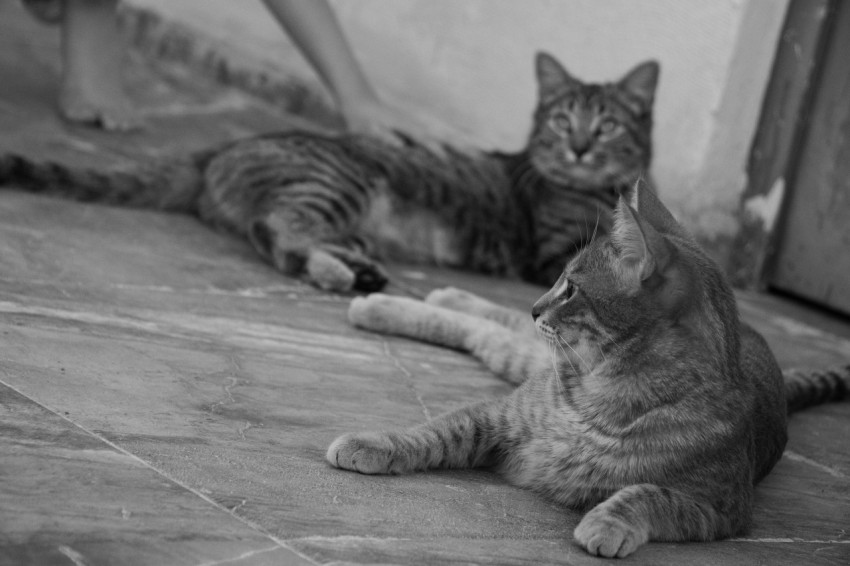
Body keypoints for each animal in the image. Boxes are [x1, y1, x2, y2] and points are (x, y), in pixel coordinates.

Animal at [330, 183, 848, 560]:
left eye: (571, 288)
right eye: (560, 279)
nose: (536, 306)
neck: (609, 393)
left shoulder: (723, 508)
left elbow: (649, 494)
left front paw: (609, 520)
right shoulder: (498, 414)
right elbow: (434, 432)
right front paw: (374, 443)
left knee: (490, 332)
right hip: (534, 358)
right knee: (493, 323)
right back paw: (402, 302)